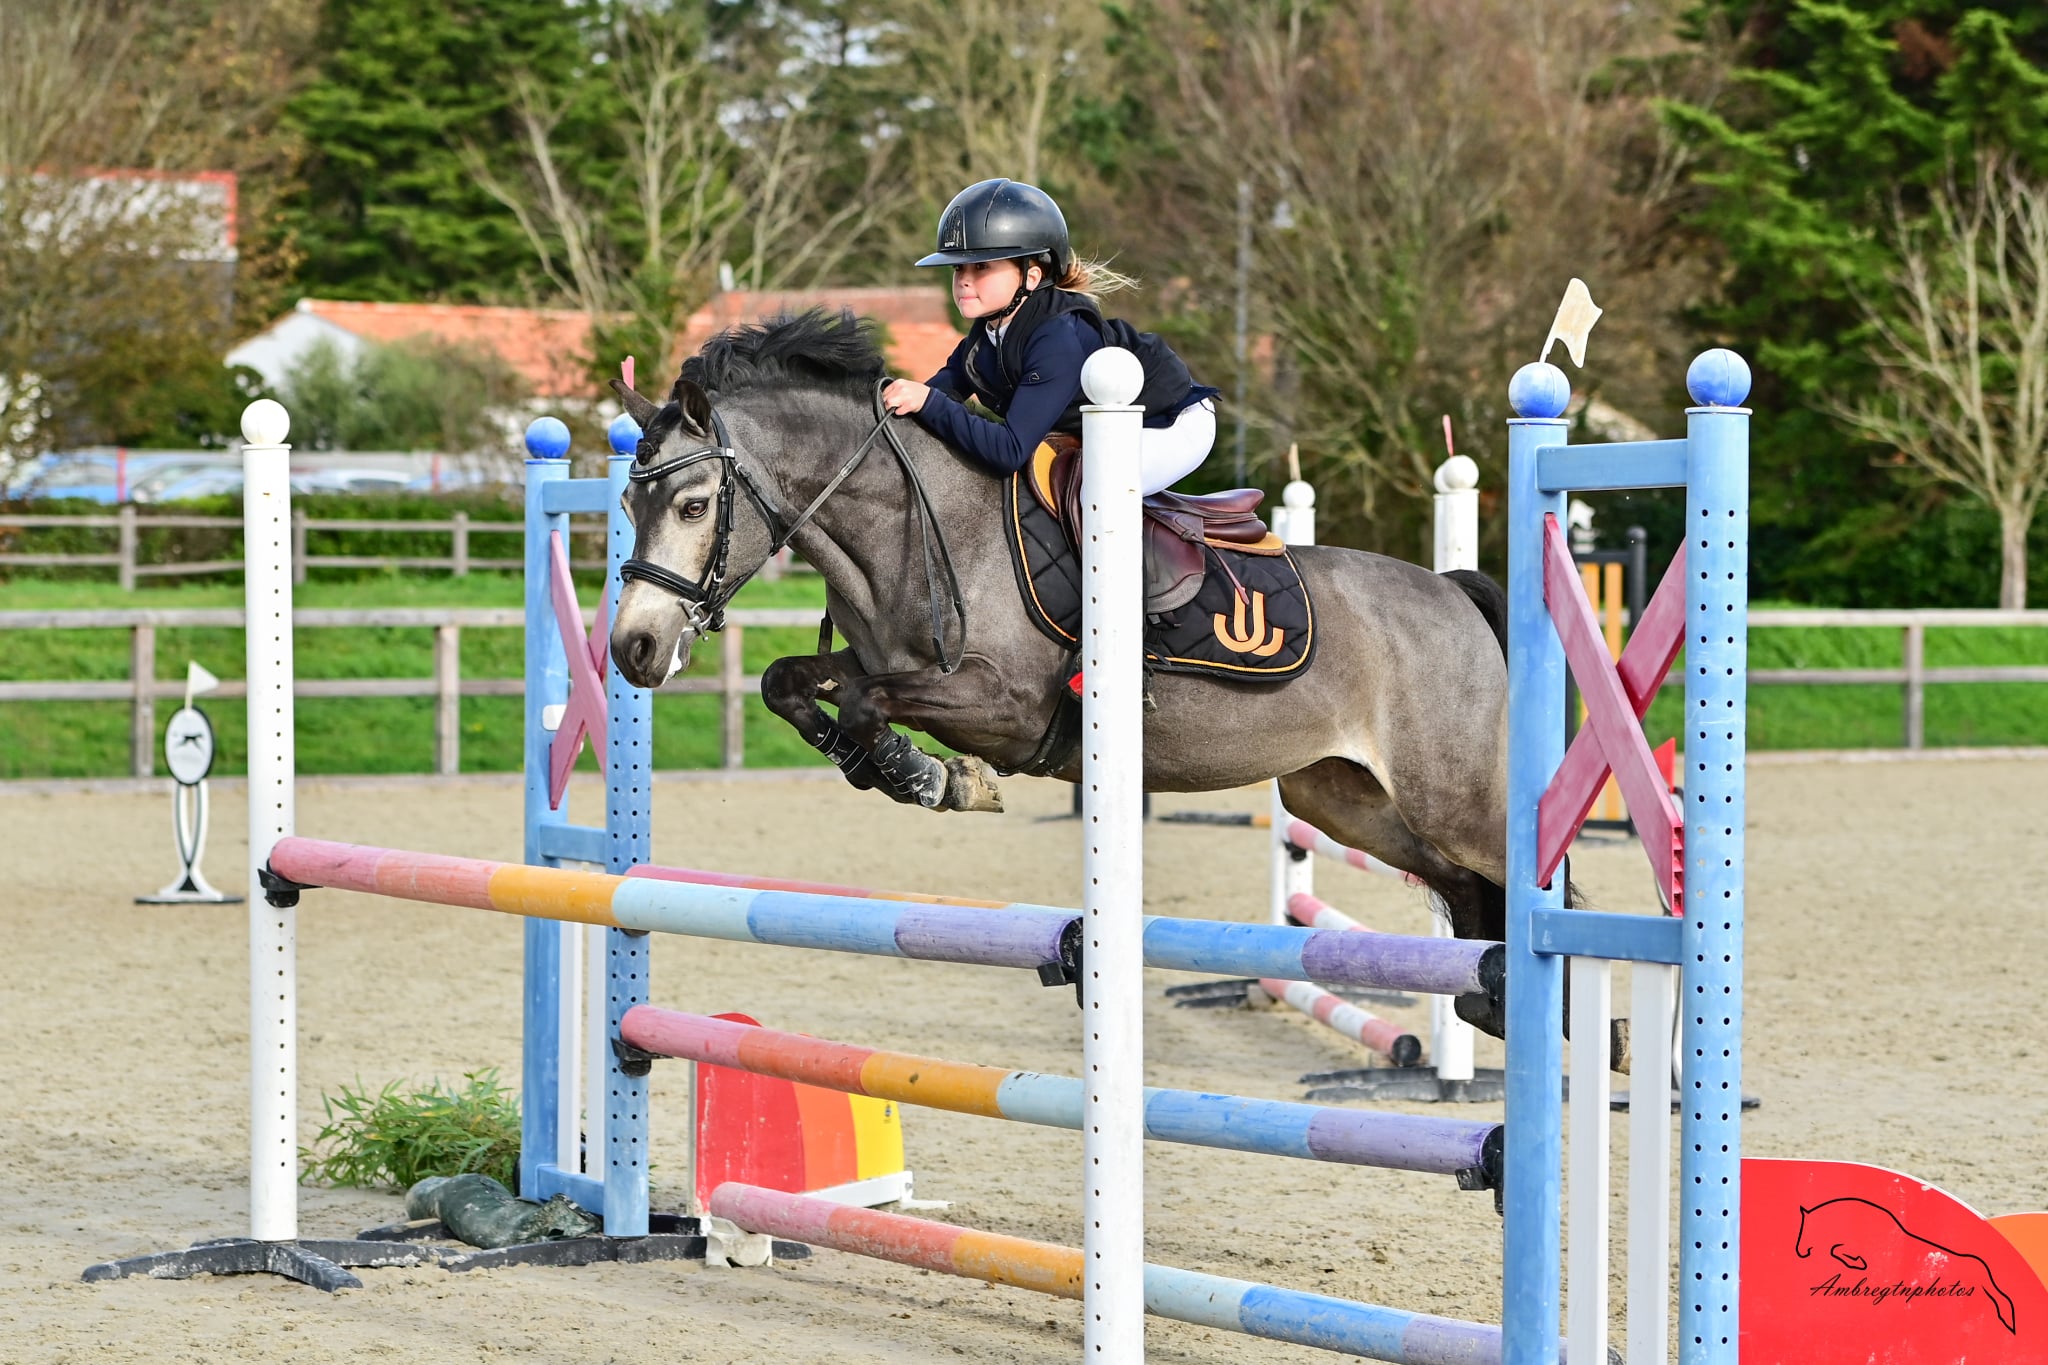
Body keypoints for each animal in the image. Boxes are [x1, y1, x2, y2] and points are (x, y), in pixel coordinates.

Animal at [606, 311, 1513, 1029]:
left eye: (693, 505)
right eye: (626, 506)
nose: (633, 649)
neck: (918, 525)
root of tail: (1453, 594)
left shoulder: (1003, 706)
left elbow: (870, 701)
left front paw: (937, 777)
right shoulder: (873, 662)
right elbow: (788, 683)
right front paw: (893, 768)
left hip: (1452, 796)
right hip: (1338, 796)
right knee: (1461, 886)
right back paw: (1491, 997)